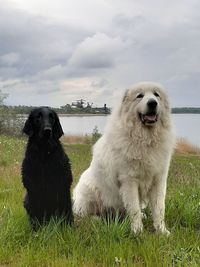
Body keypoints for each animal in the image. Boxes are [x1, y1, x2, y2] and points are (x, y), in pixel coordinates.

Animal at [73, 82, 175, 236]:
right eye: (140, 96)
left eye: (156, 95)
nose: (152, 103)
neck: (145, 139)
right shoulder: (129, 181)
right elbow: (134, 209)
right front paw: (137, 231)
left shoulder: (158, 180)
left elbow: (159, 208)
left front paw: (162, 231)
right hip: (89, 193)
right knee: (84, 215)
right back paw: (96, 219)